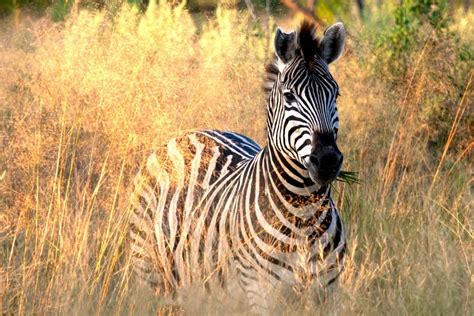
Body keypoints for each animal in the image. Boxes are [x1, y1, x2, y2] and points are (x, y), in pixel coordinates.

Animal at [130, 21, 348, 312]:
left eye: (336, 93)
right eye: (289, 97)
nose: (327, 160)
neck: (304, 214)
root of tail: (191, 133)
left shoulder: (327, 294)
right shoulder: (261, 293)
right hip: (150, 275)